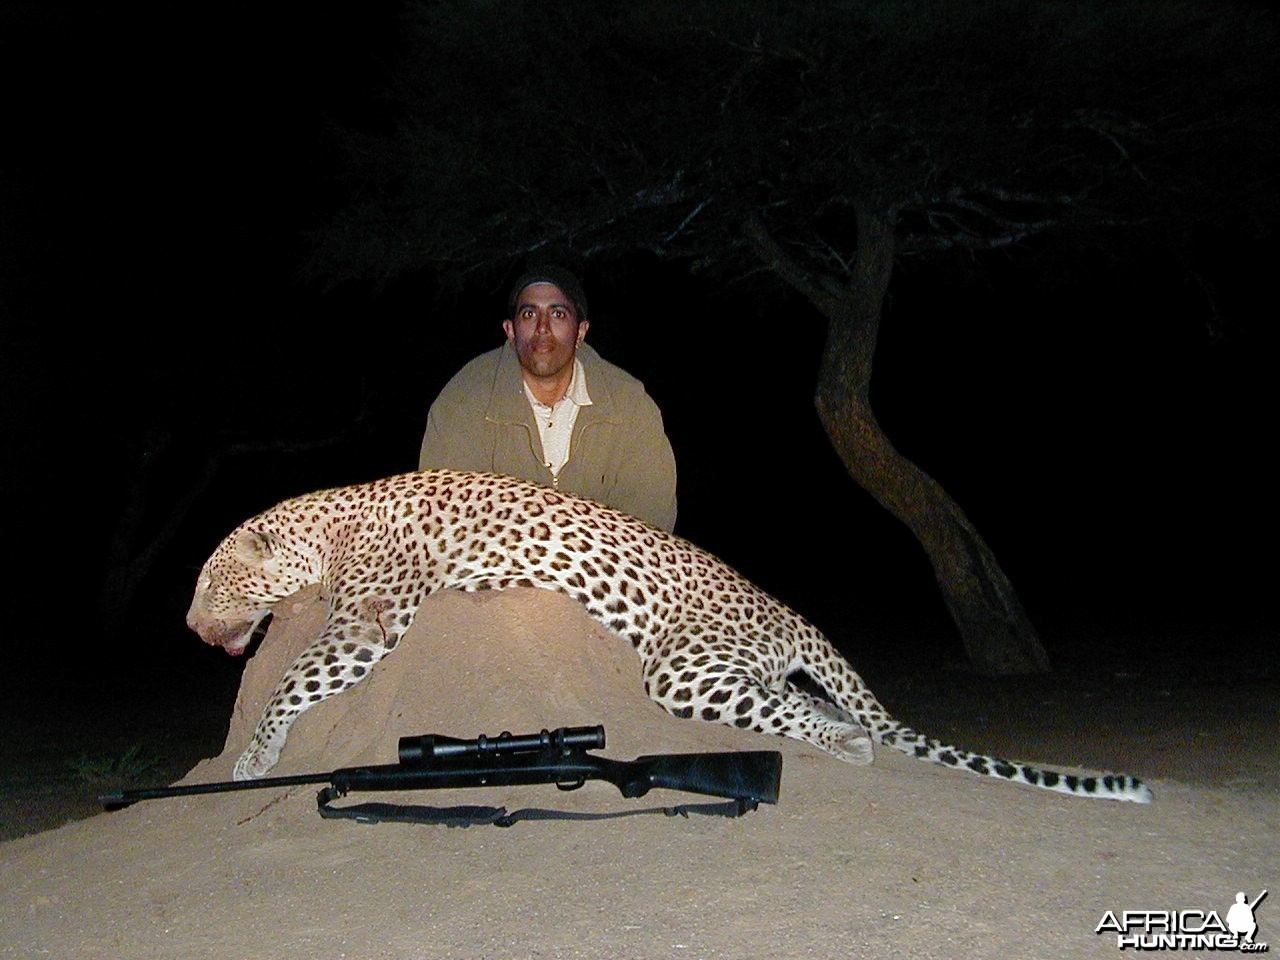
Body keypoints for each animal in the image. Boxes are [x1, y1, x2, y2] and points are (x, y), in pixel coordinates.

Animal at [185, 468, 1157, 803]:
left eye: (207, 583)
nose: (191, 626)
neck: (328, 524)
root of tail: (784, 611)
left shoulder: (367, 624)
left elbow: (291, 684)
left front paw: (254, 757)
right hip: (732, 665)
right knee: (797, 699)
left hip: (684, 667)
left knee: (796, 714)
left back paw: (846, 744)